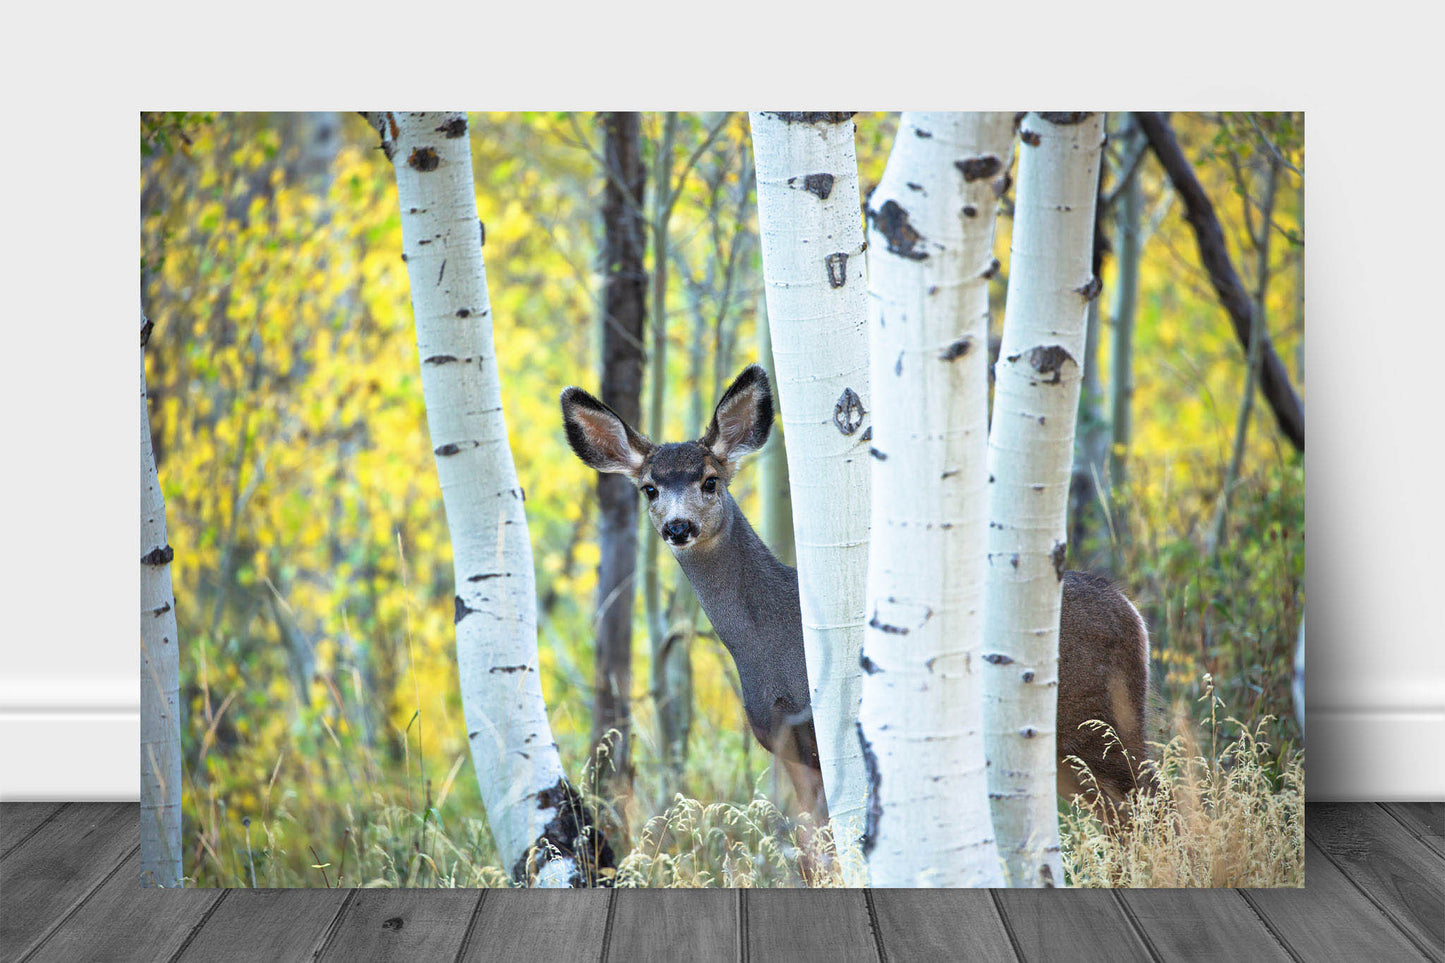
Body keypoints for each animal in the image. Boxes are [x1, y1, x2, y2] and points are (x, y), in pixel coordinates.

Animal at [560, 364, 1150, 821]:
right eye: (649, 489)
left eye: (710, 480)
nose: (678, 527)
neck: (771, 645)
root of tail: (1132, 612)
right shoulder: (788, 749)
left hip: (1097, 722)